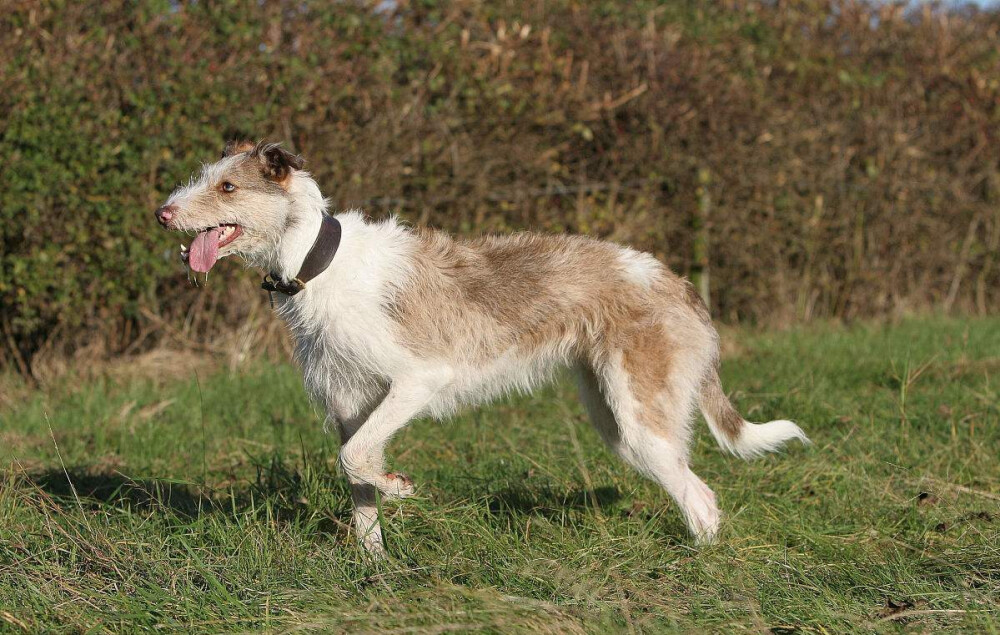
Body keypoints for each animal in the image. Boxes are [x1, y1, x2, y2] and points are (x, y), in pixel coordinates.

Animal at [158, 140, 812, 556]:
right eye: (203, 178)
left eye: (227, 186)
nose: (162, 214)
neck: (318, 265)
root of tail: (678, 283)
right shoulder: (348, 404)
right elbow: (358, 479)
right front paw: (374, 569)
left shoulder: (419, 379)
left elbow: (356, 459)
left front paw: (401, 487)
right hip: (620, 426)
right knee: (694, 489)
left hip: (641, 418)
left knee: (702, 498)